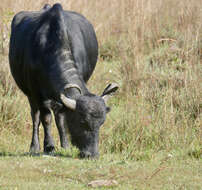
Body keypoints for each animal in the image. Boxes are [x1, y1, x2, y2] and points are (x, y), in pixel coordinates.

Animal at [8, 3, 117, 158]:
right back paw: (34, 146)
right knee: (35, 116)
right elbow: (45, 118)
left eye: (101, 123)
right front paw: (49, 146)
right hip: (30, 95)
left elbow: (61, 118)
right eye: (82, 121)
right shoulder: (37, 93)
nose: (91, 154)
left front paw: (65, 145)